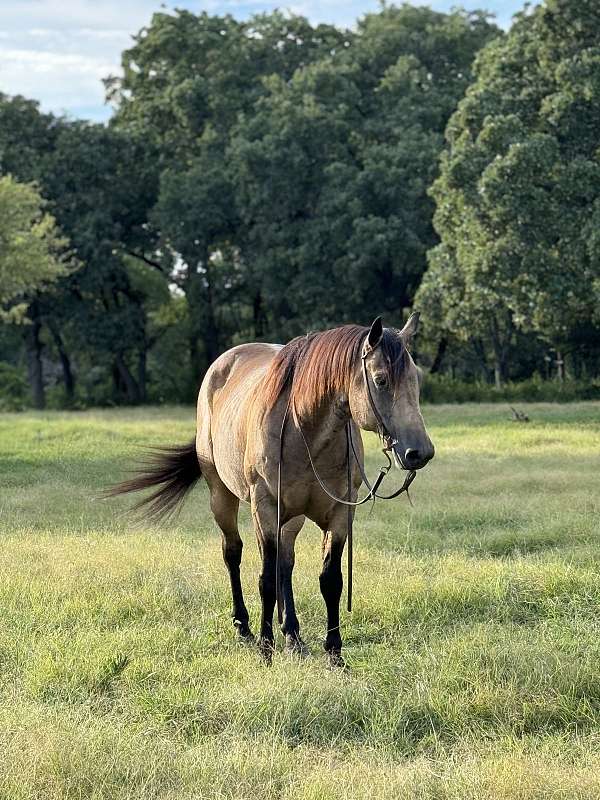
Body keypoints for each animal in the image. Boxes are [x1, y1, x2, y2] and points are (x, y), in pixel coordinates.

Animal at [108, 316, 434, 664]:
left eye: (416, 379)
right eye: (381, 380)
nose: (420, 453)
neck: (305, 430)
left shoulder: (340, 513)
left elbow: (330, 580)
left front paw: (334, 653)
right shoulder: (265, 508)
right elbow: (265, 580)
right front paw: (266, 648)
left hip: (291, 518)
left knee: (285, 564)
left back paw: (292, 634)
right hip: (222, 498)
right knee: (233, 552)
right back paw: (244, 627)